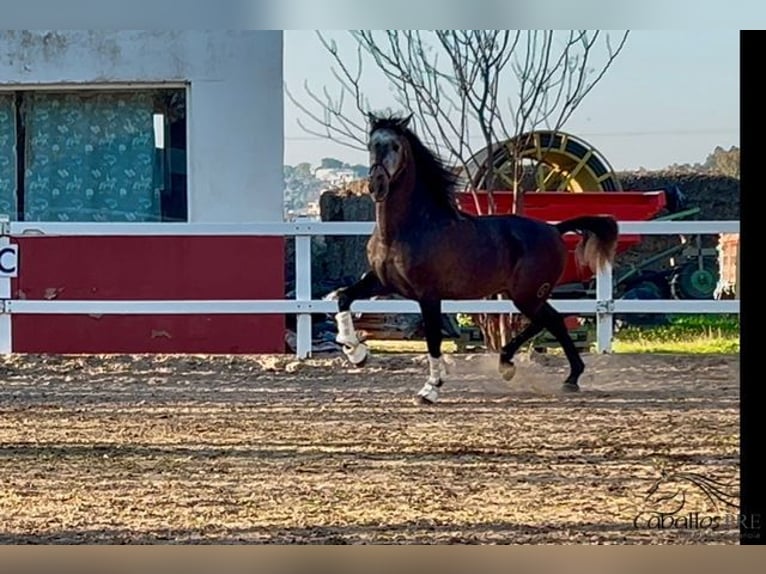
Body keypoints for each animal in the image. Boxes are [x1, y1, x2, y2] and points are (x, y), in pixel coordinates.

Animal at [328, 112, 620, 404]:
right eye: (371, 145)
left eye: (395, 146)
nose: (376, 185)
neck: (405, 229)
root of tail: (554, 229)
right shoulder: (383, 282)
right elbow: (344, 297)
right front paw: (356, 353)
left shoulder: (428, 295)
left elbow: (433, 339)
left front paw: (430, 389)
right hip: (526, 294)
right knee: (554, 321)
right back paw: (556, 376)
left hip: (527, 294)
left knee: (549, 321)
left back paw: (524, 368)